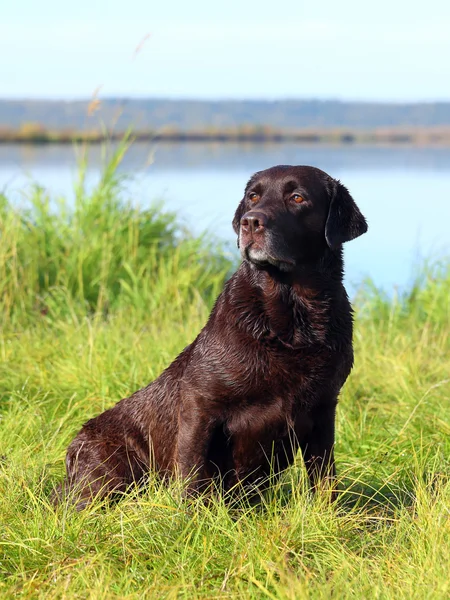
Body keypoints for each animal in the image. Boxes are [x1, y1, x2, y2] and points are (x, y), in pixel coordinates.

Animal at [59, 164, 370, 506]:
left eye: (297, 197)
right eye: (253, 197)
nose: (251, 222)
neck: (291, 319)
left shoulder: (324, 408)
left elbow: (325, 477)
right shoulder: (200, 404)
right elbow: (191, 470)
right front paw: (186, 514)